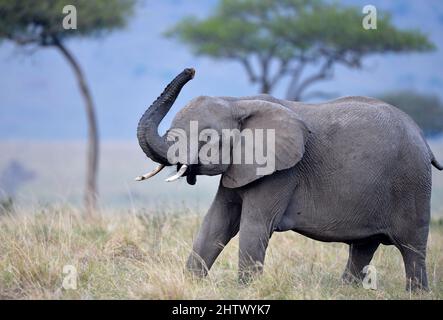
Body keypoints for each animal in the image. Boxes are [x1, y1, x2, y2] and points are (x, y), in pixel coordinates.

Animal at [137, 69, 442, 292]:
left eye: (206, 138)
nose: (191, 70)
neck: (237, 102)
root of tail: (424, 140)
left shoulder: (281, 172)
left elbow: (254, 225)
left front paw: (244, 292)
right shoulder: (240, 167)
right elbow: (217, 222)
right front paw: (190, 284)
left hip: (412, 182)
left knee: (411, 246)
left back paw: (416, 293)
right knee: (363, 246)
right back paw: (345, 291)